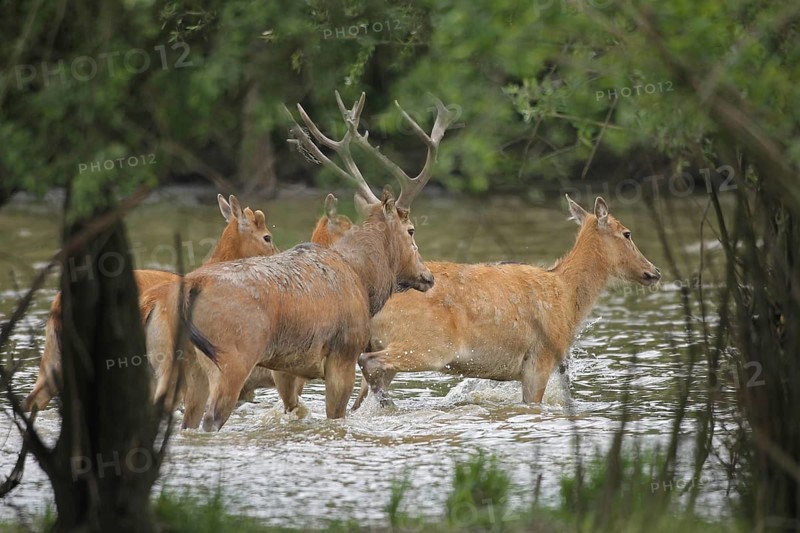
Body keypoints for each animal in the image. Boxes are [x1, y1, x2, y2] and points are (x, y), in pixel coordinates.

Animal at [163, 91, 452, 431]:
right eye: (411, 230)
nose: (427, 275)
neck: (364, 280)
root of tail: (191, 287)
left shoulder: (285, 367)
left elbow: (292, 406)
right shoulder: (344, 352)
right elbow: (336, 414)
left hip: (189, 366)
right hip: (232, 356)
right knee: (212, 418)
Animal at [352, 195, 661, 410]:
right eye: (627, 233)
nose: (654, 271)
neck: (567, 296)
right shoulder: (540, 357)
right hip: (428, 345)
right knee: (368, 364)